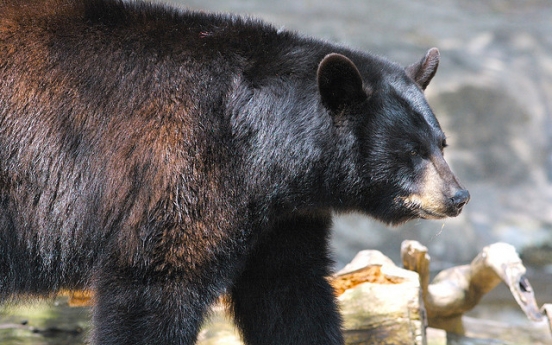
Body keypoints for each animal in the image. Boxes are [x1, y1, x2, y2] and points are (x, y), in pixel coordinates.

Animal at [0, 0, 470, 344]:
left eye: (441, 143)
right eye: (411, 151)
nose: (458, 197)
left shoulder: (282, 216)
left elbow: (289, 290)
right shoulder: (187, 168)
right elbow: (154, 282)